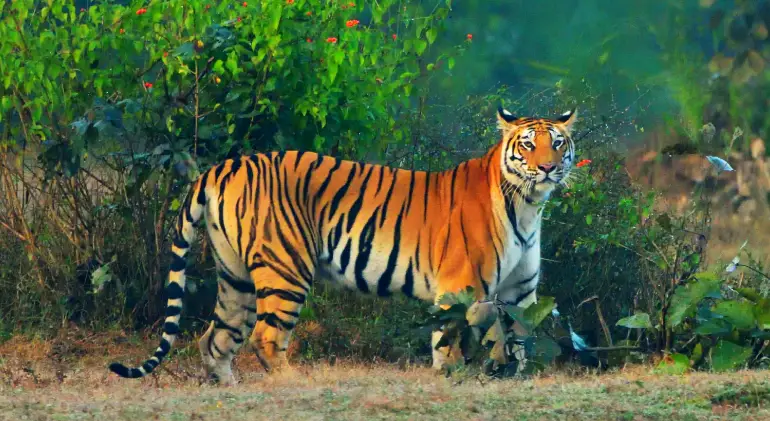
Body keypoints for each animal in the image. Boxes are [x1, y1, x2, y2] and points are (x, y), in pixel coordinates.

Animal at [108, 106, 576, 384]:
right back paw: (293, 386)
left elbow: (521, 338)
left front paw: (516, 376)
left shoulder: (519, 292)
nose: (548, 169)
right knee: (265, 337)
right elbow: (452, 339)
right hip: (286, 269)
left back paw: (231, 391)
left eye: (558, 143)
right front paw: (453, 376)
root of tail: (224, 166)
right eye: (528, 145)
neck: (528, 205)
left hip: (234, 276)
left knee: (215, 339)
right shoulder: (464, 288)